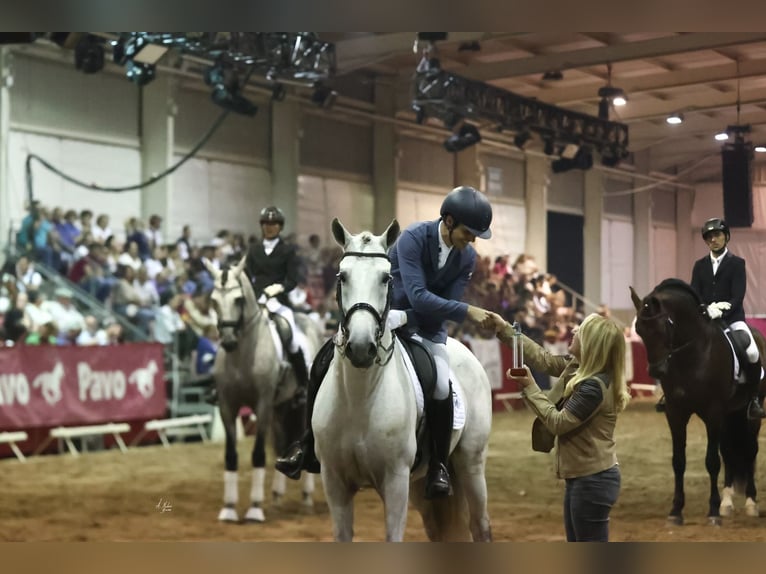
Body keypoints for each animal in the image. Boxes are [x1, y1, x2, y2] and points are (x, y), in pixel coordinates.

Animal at [206, 258, 320, 524]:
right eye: (214, 300)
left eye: (238, 300)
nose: (228, 341)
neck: (242, 355)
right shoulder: (227, 406)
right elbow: (231, 455)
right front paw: (229, 508)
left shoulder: (263, 405)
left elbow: (258, 454)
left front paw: (255, 509)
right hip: (281, 407)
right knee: (281, 444)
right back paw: (277, 496)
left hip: (298, 405)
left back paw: (307, 498)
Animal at [314, 218, 498, 544]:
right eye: (342, 276)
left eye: (386, 278)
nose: (360, 348)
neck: (359, 396)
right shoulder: (334, 480)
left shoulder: (395, 479)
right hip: (421, 486)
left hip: (471, 463)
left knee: (480, 526)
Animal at [632, 280, 764, 528]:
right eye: (639, 330)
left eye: (664, 326)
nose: (656, 371)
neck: (691, 354)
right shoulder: (676, 413)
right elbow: (678, 461)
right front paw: (676, 511)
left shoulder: (712, 412)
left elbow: (712, 461)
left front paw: (712, 511)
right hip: (729, 415)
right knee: (728, 451)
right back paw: (727, 503)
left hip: (749, 414)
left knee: (750, 450)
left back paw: (751, 503)